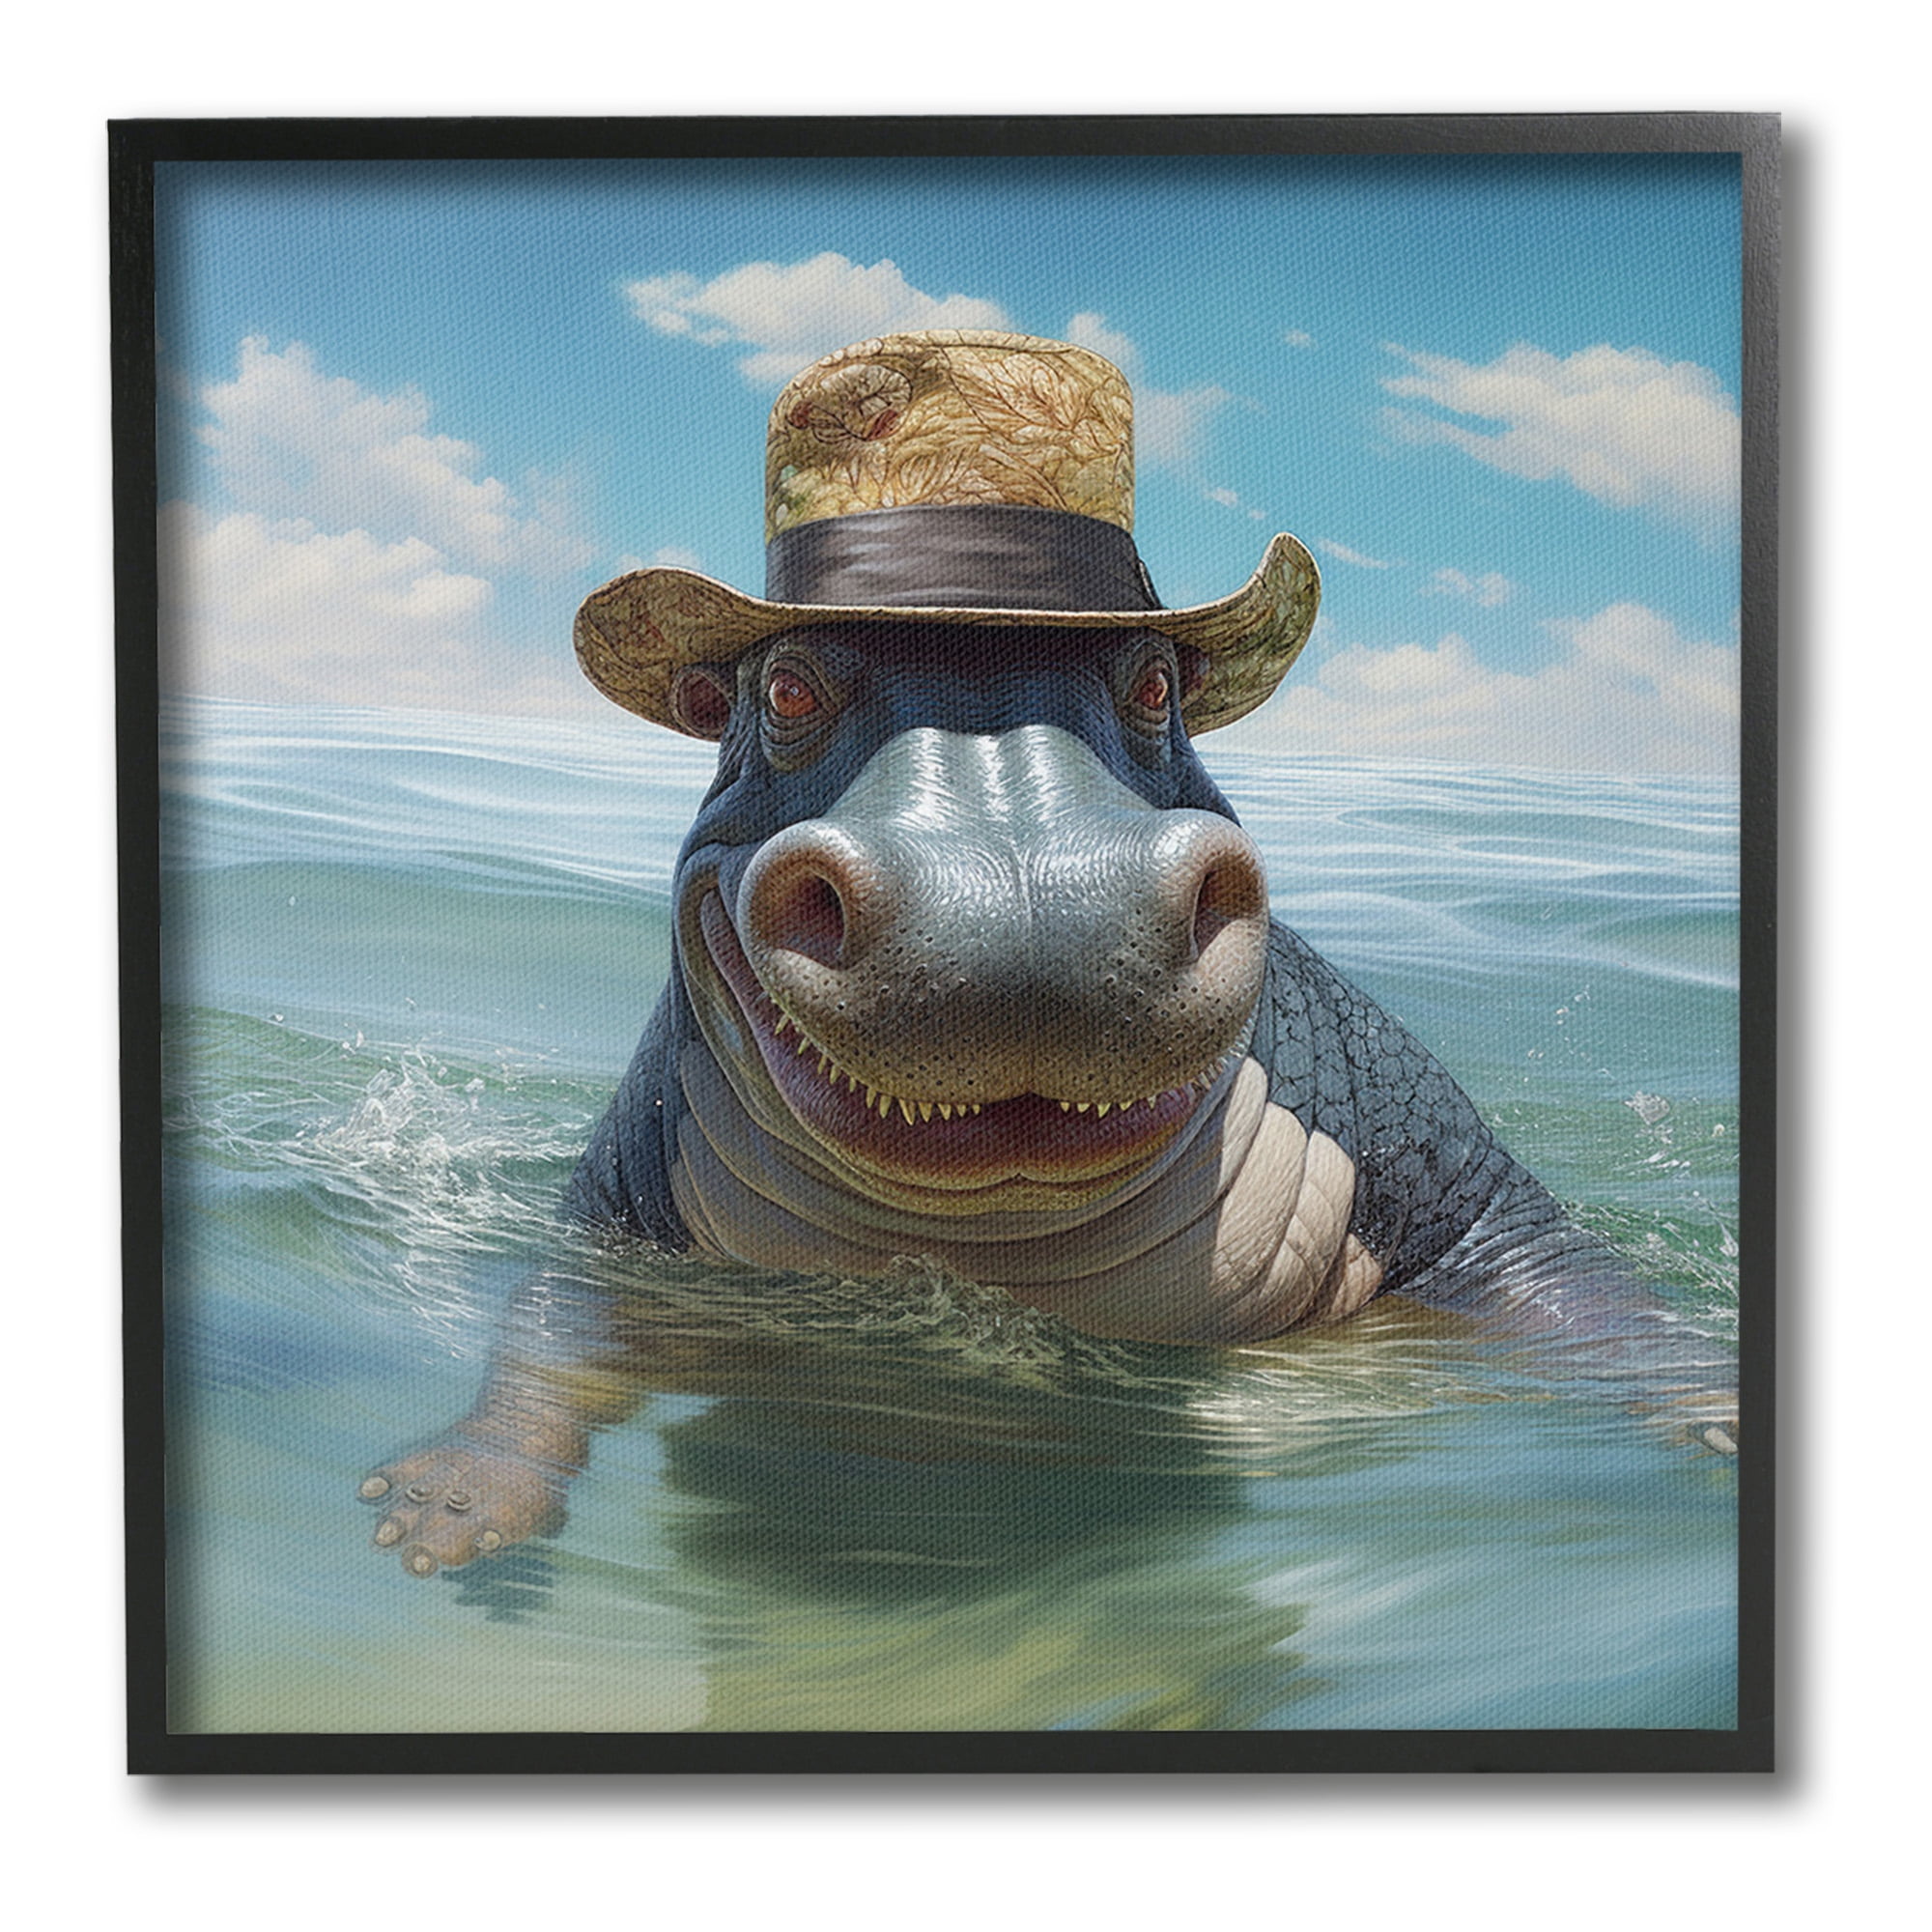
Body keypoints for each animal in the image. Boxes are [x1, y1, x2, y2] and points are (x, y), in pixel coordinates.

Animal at [361, 331, 1731, 1576]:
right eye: (782, 689)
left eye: (1157, 683)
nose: (1022, 894)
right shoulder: (612, 1222)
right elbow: (552, 1332)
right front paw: (440, 1510)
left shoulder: (1464, 1188)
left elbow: (1587, 1300)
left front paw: (1715, 1413)